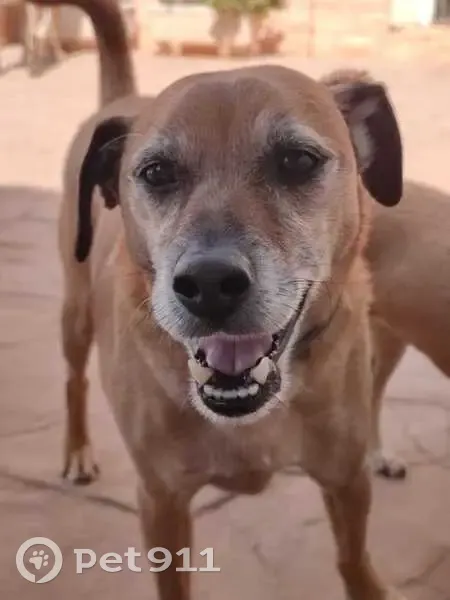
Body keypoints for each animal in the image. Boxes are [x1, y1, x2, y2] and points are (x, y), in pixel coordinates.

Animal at [29, 1, 407, 599]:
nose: (207, 285)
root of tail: (119, 102)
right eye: (156, 172)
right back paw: (78, 452)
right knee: (74, 380)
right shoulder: (161, 501)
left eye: (298, 161)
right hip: (75, 309)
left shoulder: (349, 478)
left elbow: (354, 562)